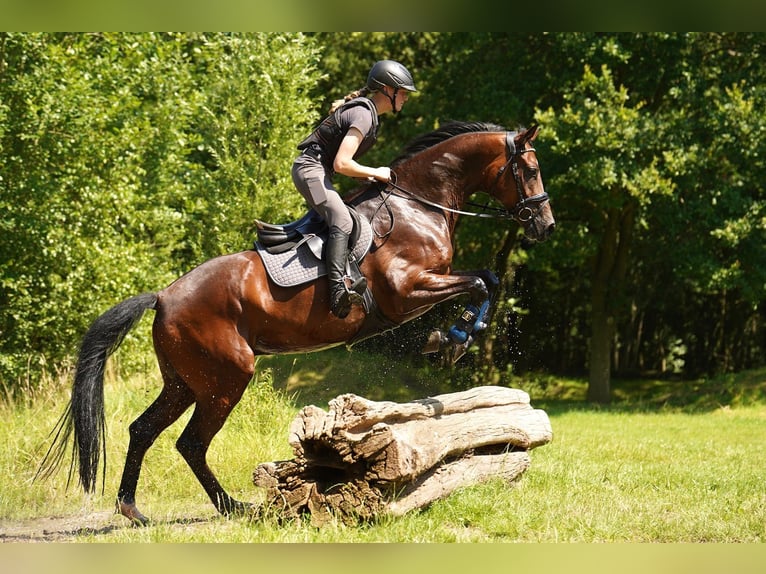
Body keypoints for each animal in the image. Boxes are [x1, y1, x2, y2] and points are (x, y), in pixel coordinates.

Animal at [39, 121, 556, 528]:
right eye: (530, 170)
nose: (546, 226)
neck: (420, 207)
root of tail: (164, 296)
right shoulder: (407, 292)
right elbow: (481, 283)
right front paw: (449, 341)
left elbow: (487, 279)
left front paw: (455, 339)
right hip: (226, 378)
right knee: (191, 443)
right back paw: (233, 507)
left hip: (185, 381)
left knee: (144, 430)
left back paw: (133, 509)